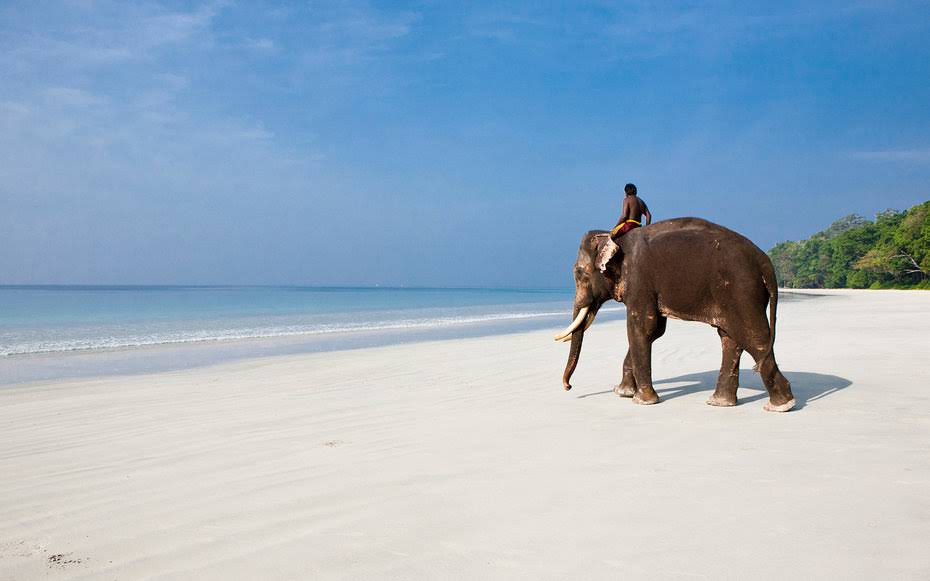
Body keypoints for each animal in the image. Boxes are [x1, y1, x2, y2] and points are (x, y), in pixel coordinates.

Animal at [555, 217, 795, 412]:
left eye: (579, 273)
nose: (568, 386)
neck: (615, 236)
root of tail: (765, 263)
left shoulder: (639, 280)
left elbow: (641, 328)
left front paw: (643, 401)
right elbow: (655, 331)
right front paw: (623, 392)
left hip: (742, 291)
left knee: (755, 339)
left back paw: (781, 405)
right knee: (730, 338)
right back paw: (720, 402)